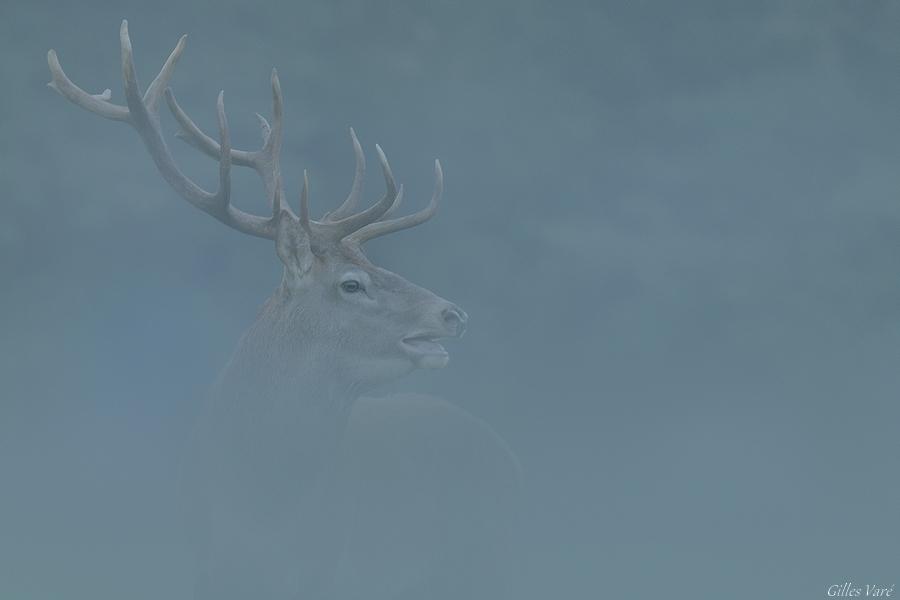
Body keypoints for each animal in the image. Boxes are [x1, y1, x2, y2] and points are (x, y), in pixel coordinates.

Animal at [48, 20, 520, 600]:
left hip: (496, 561)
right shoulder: (203, 562)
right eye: (352, 284)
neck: (260, 511)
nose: (454, 314)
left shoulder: (328, 563)